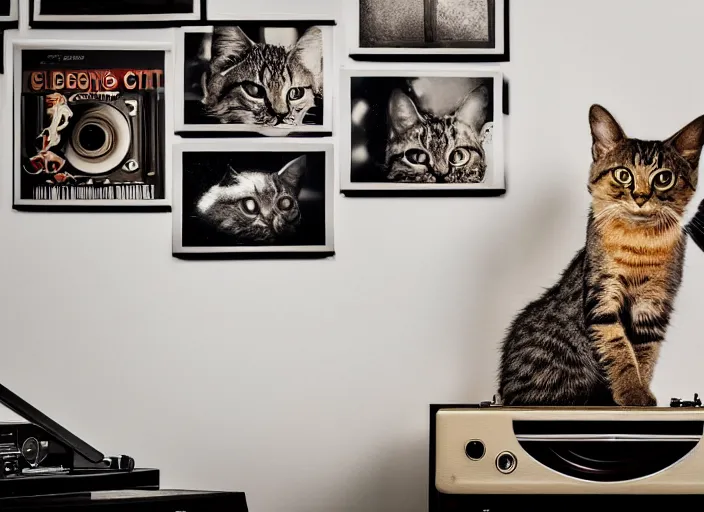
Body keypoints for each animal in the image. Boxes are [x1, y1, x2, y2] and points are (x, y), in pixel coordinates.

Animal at [498, 106, 700, 406]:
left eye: (664, 178)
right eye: (623, 175)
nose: (641, 197)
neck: (640, 243)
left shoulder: (654, 303)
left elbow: (644, 353)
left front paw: (640, 391)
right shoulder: (602, 294)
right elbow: (619, 349)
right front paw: (632, 392)